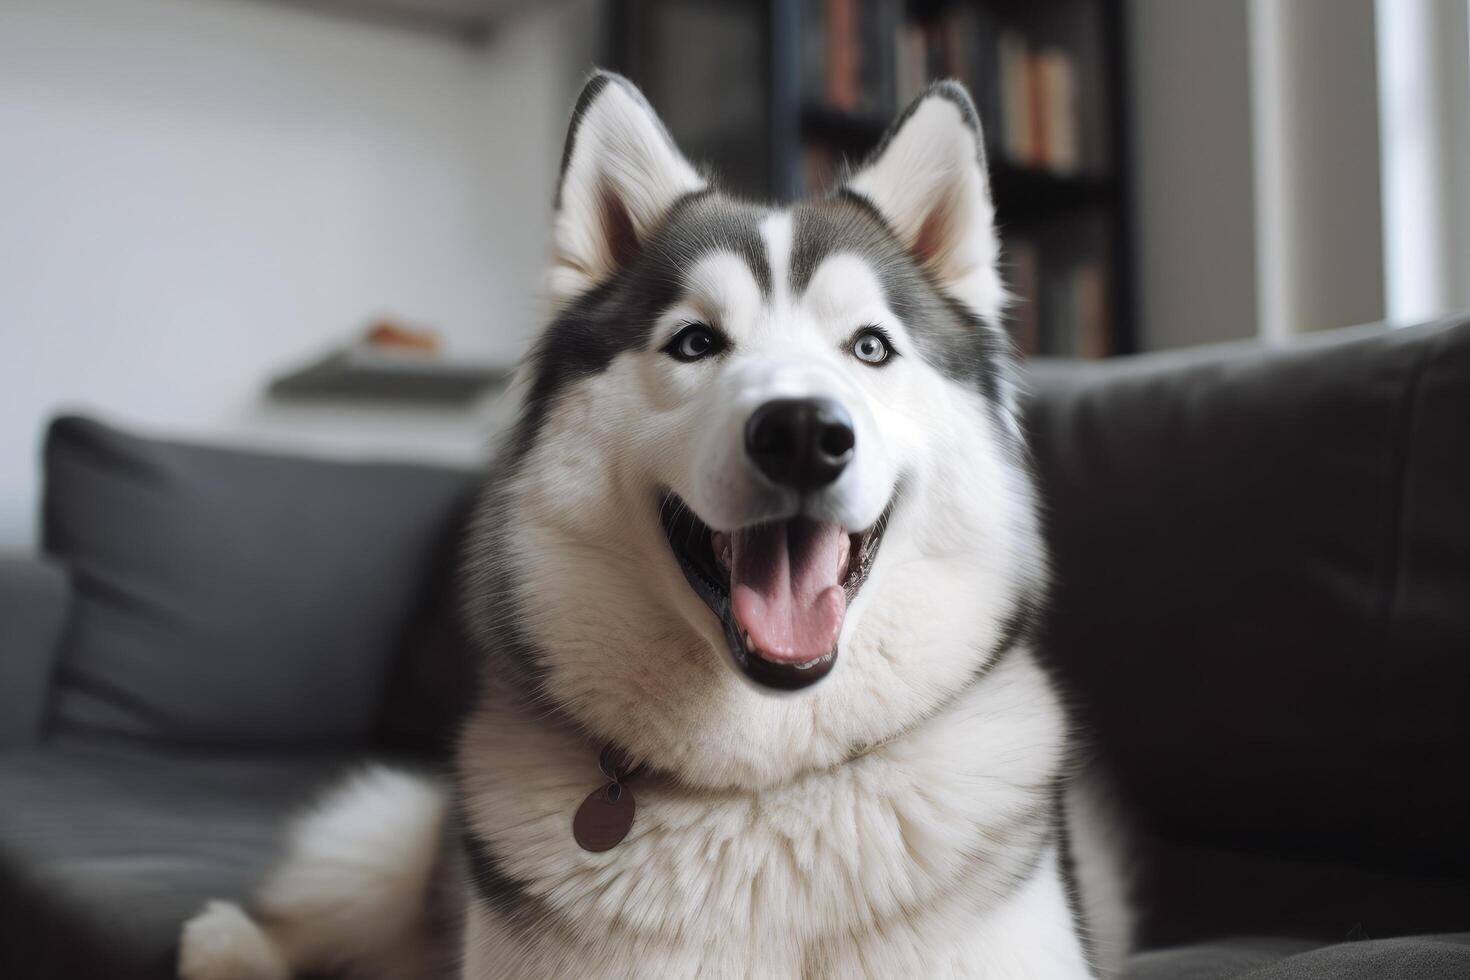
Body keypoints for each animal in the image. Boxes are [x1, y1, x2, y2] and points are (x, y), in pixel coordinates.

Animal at [177, 72, 1128, 975]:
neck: (764, 791)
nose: (802, 435)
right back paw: (229, 946)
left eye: (870, 347)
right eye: (696, 343)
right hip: (391, 836)